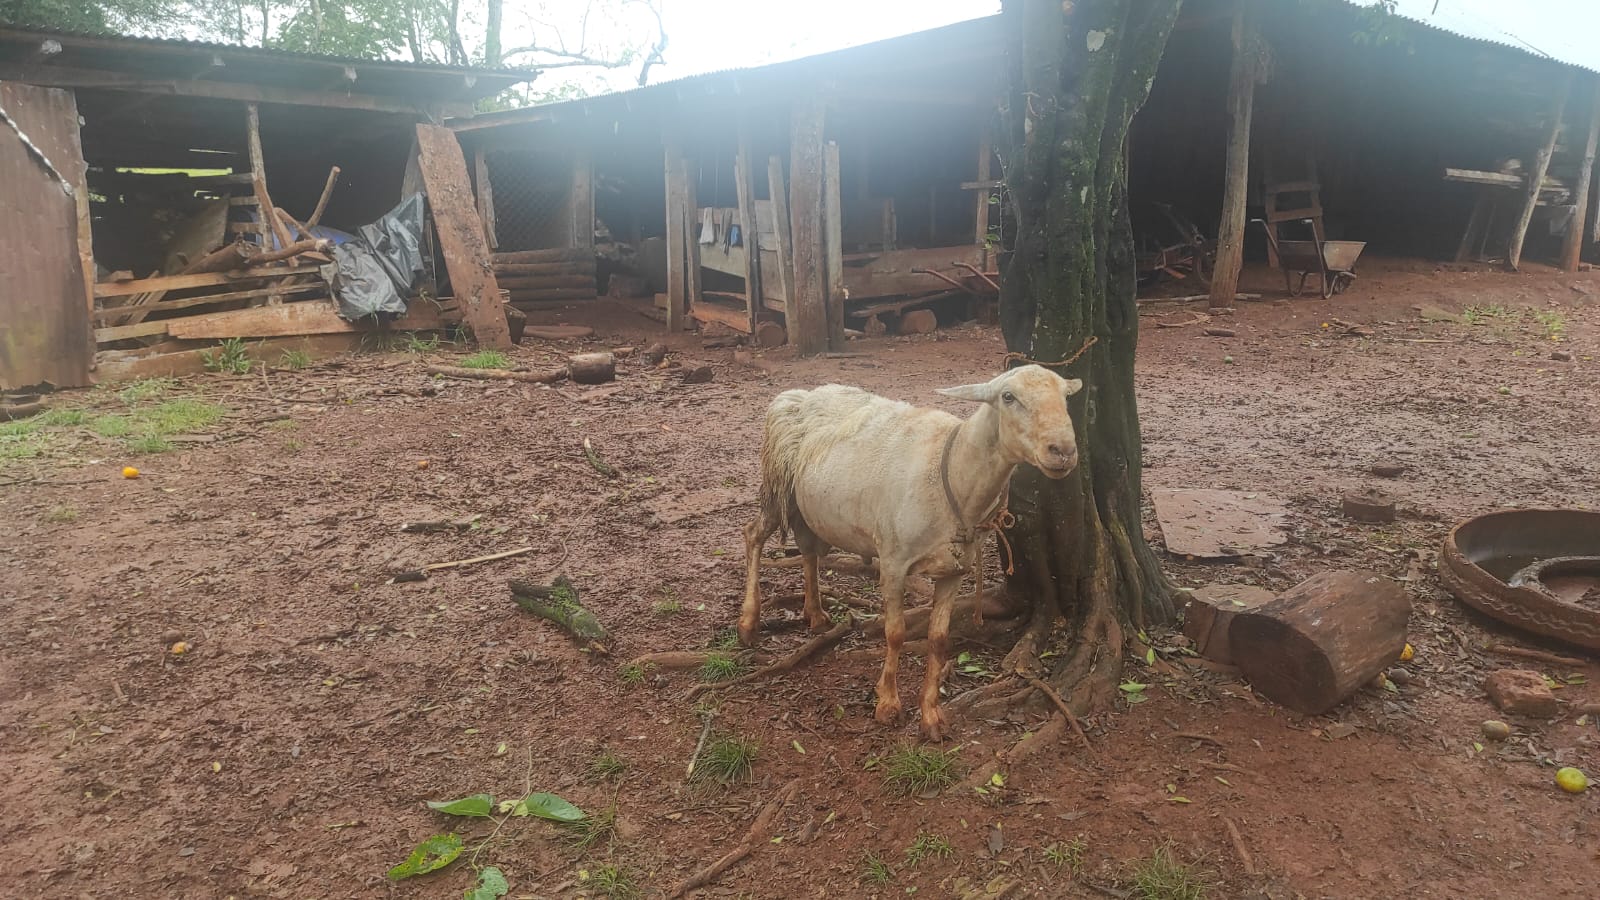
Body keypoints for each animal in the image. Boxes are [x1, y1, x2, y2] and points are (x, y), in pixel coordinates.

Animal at [742, 361, 1081, 736]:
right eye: (1008, 397)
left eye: (1066, 396)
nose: (1063, 451)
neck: (952, 472)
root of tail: (799, 394)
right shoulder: (893, 561)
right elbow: (895, 634)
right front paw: (887, 705)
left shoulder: (954, 571)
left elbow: (938, 639)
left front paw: (931, 713)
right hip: (775, 486)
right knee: (753, 535)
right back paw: (748, 622)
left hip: (807, 505)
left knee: (808, 548)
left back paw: (815, 615)